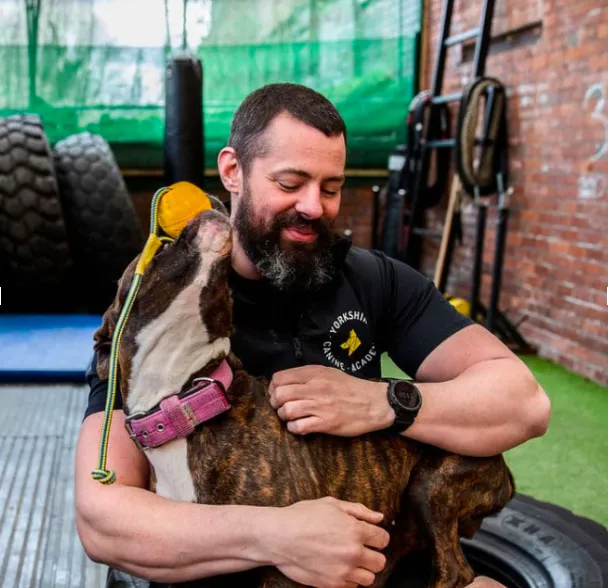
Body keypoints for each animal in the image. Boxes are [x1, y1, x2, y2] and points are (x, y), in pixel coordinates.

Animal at [94, 209, 512, 584]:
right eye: (163, 245)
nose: (208, 207)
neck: (184, 401)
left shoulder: (288, 564)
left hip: (432, 488)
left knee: (455, 572)